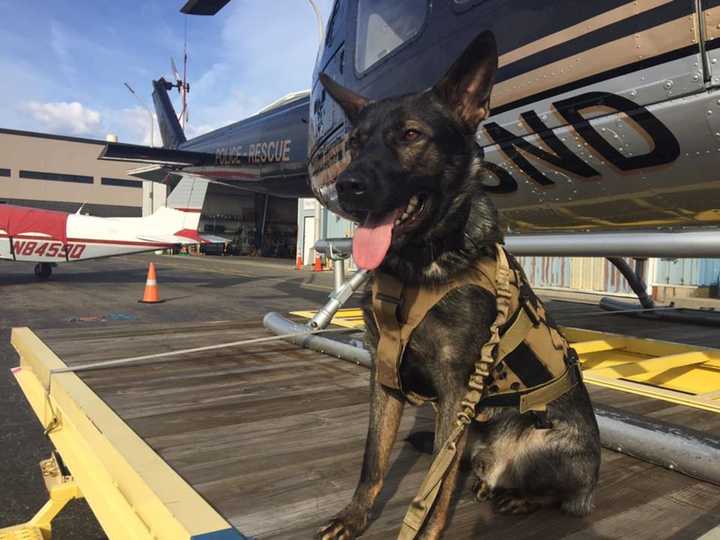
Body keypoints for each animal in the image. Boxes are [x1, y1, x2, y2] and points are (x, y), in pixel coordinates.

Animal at [316, 31, 600, 536]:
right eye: (354, 143)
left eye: (411, 135)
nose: (345, 187)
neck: (417, 267)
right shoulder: (383, 374)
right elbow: (374, 460)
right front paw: (354, 516)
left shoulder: (456, 388)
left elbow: (438, 488)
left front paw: (426, 531)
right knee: (465, 460)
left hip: (549, 449)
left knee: (554, 494)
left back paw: (516, 497)